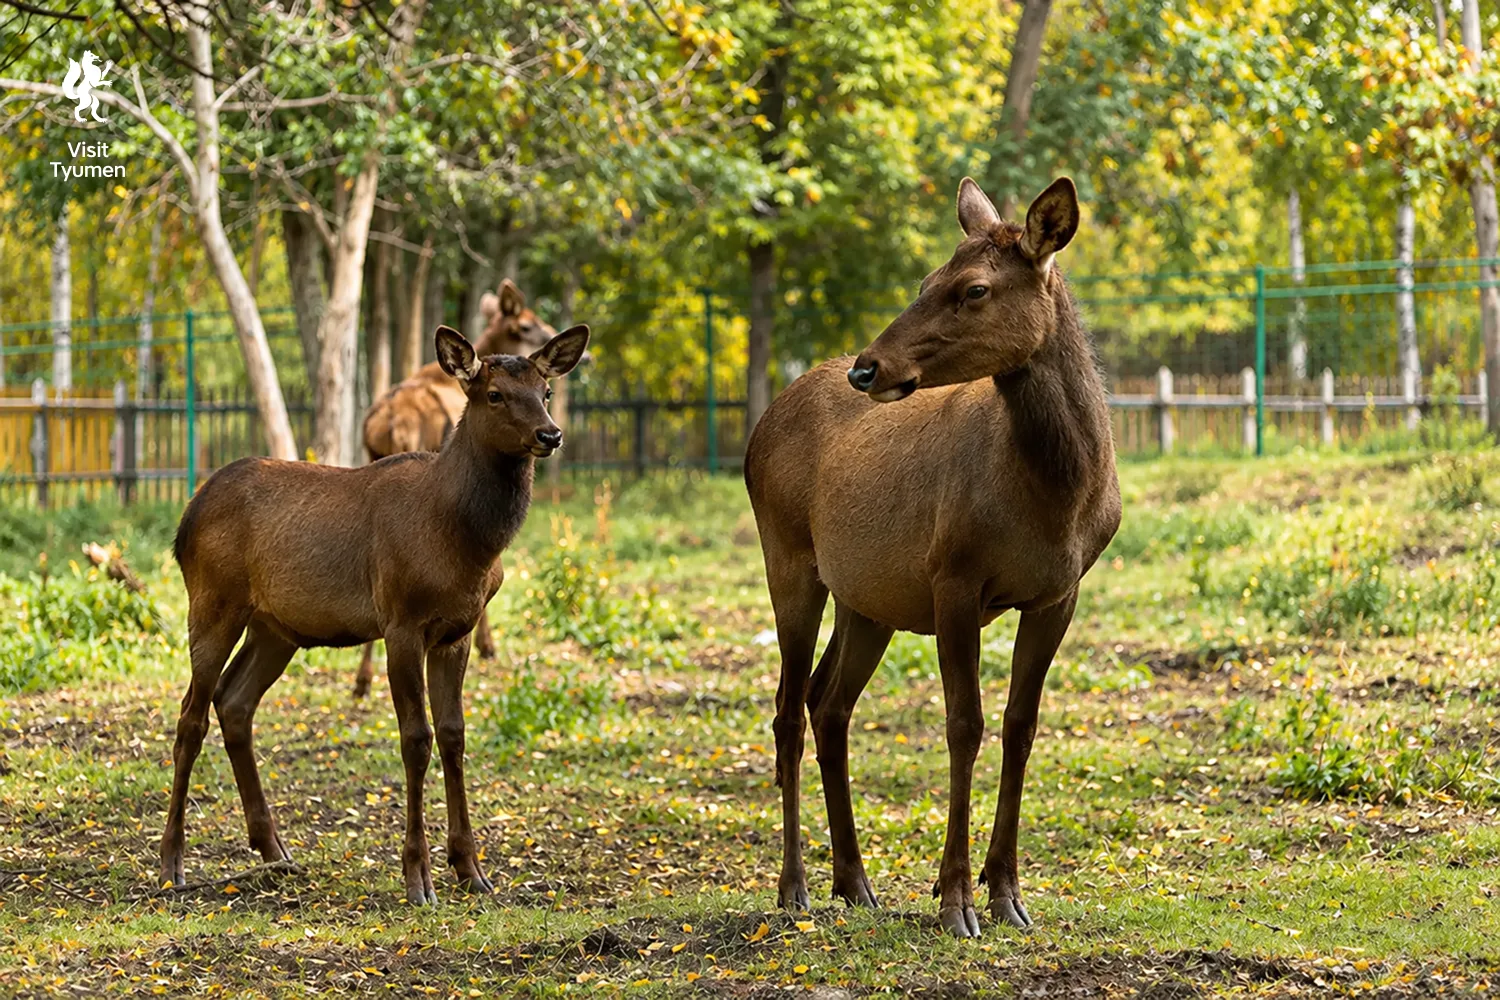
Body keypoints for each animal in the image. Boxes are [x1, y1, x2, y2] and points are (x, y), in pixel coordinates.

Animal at [162, 323, 590, 904]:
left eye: (545, 391)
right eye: (495, 394)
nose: (551, 434)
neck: (466, 545)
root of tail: (185, 521)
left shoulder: (456, 631)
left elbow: (453, 734)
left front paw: (471, 869)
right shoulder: (401, 622)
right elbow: (416, 738)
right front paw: (418, 877)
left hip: (276, 628)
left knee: (234, 702)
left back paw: (275, 850)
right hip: (212, 601)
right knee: (191, 714)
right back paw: (172, 862)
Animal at [743, 177, 1120, 939]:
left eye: (973, 289)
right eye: (924, 280)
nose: (868, 367)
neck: (1060, 500)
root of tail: (758, 430)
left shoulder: (1059, 593)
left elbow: (1020, 726)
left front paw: (1007, 893)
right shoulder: (954, 577)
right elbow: (963, 725)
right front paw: (955, 901)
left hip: (868, 598)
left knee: (829, 703)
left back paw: (855, 882)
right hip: (789, 560)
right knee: (788, 710)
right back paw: (794, 887)